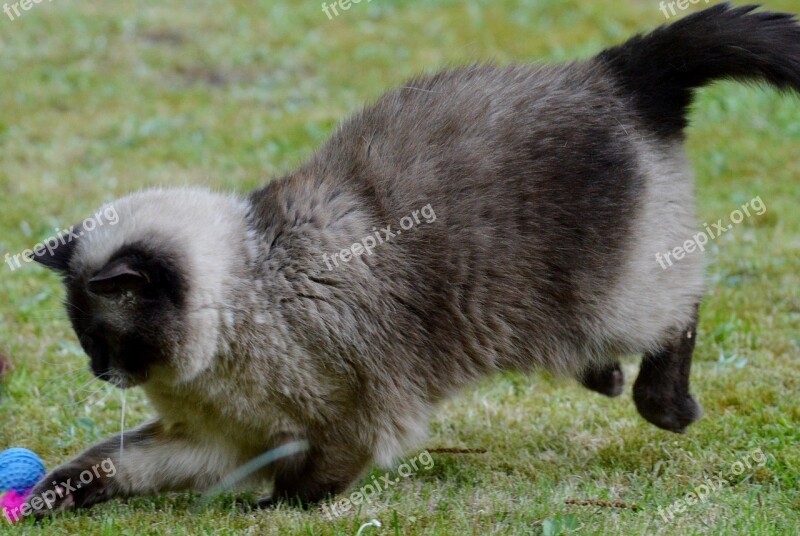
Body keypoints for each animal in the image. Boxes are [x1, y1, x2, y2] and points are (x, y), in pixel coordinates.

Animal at [25, 2, 800, 516]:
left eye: (101, 338)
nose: (99, 372)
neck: (240, 307)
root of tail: (613, 70)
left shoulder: (348, 417)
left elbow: (311, 484)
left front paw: (269, 512)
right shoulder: (214, 438)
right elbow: (112, 462)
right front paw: (44, 498)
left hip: (606, 298)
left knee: (682, 310)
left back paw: (668, 408)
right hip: (567, 318)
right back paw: (608, 381)